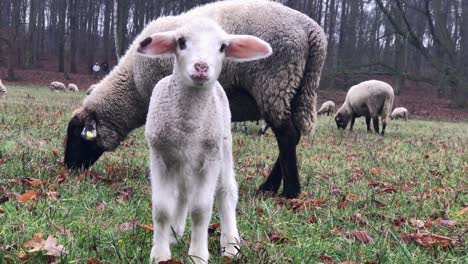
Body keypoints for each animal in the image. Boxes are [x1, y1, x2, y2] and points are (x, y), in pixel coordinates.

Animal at [137, 18, 272, 264]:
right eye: (181, 42)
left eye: (223, 47)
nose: (201, 67)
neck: (188, 126)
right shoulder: (160, 155)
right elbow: (162, 209)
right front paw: (160, 253)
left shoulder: (209, 158)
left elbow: (200, 211)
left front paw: (197, 255)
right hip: (182, 160)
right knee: (183, 192)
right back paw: (175, 233)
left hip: (223, 145)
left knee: (226, 191)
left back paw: (230, 245)